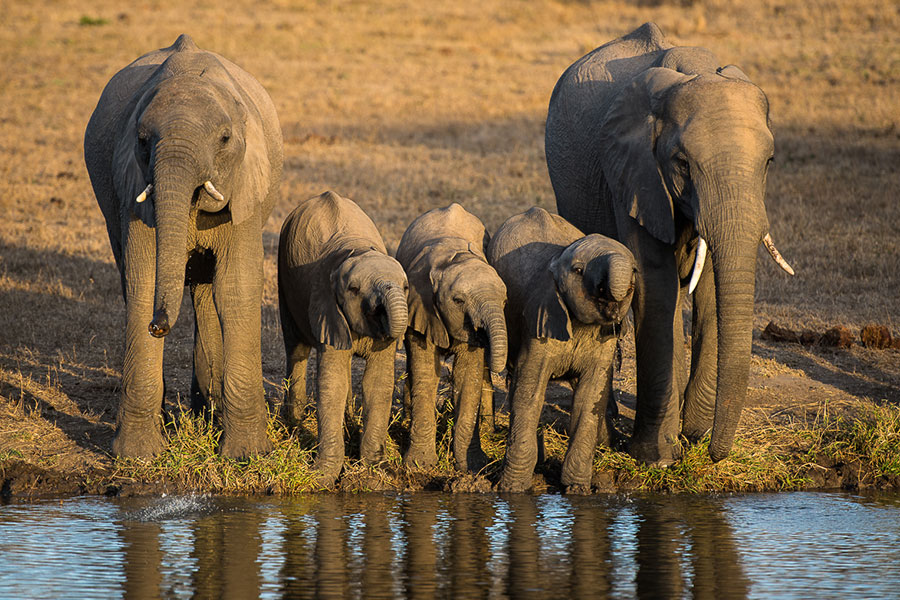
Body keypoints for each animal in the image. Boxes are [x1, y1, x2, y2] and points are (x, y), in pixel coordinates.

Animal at [84, 35, 284, 458]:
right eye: (143, 141)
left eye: (224, 139)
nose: (158, 326)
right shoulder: (132, 191)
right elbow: (143, 283)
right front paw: (138, 455)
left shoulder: (245, 186)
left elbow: (237, 288)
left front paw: (247, 455)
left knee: (209, 292)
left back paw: (209, 416)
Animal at [278, 190, 412, 486]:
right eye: (354, 289)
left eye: (406, 287)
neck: (357, 249)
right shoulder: (326, 306)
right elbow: (332, 384)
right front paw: (322, 477)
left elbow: (377, 384)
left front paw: (377, 468)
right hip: (283, 274)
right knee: (296, 349)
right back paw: (292, 425)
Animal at [394, 204, 506, 472]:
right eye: (458, 300)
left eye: (505, 301)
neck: (453, 258)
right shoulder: (420, 305)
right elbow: (426, 372)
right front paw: (421, 465)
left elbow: (467, 376)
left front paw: (473, 467)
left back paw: (490, 431)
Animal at [488, 206, 636, 492]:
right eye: (578, 270)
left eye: (635, 270)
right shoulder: (539, 321)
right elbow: (529, 391)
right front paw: (511, 490)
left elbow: (590, 396)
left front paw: (577, 488)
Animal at [540, 22, 796, 464]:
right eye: (682, 164)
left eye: (769, 162)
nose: (713, 453)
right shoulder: (633, 173)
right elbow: (654, 283)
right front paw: (657, 456)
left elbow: (710, 286)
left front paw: (692, 434)